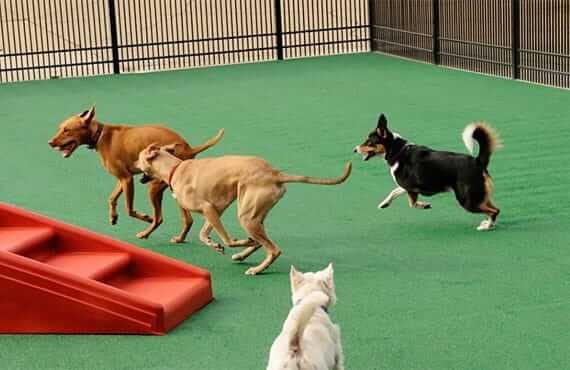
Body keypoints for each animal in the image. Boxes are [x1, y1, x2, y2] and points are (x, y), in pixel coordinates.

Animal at [48, 106, 223, 240]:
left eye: (67, 130)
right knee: (188, 220)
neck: (100, 135)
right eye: (60, 128)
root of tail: (189, 148)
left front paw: (145, 217)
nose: (50, 142)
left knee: (159, 218)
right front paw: (113, 216)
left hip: (154, 187)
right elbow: (111, 198)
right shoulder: (123, 179)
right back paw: (179, 238)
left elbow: (129, 210)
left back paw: (146, 232)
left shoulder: (127, 179)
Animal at [138, 143, 350, 276]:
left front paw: (223, 244)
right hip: (254, 214)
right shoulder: (215, 210)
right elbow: (203, 235)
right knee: (261, 243)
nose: (134, 168)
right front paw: (214, 244)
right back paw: (243, 254)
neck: (175, 169)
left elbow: (227, 240)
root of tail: (274, 173)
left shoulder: (208, 208)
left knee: (273, 249)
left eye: (138, 159)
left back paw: (256, 268)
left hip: (246, 217)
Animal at [352, 114, 500, 230]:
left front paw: (424, 205)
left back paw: (487, 226)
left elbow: (411, 203)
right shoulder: (407, 186)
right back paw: (488, 224)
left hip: (467, 200)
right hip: (478, 196)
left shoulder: (410, 187)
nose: (354, 149)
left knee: (495, 210)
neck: (398, 151)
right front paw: (385, 203)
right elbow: (394, 191)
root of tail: (477, 161)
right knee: (492, 209)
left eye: (369, 142)